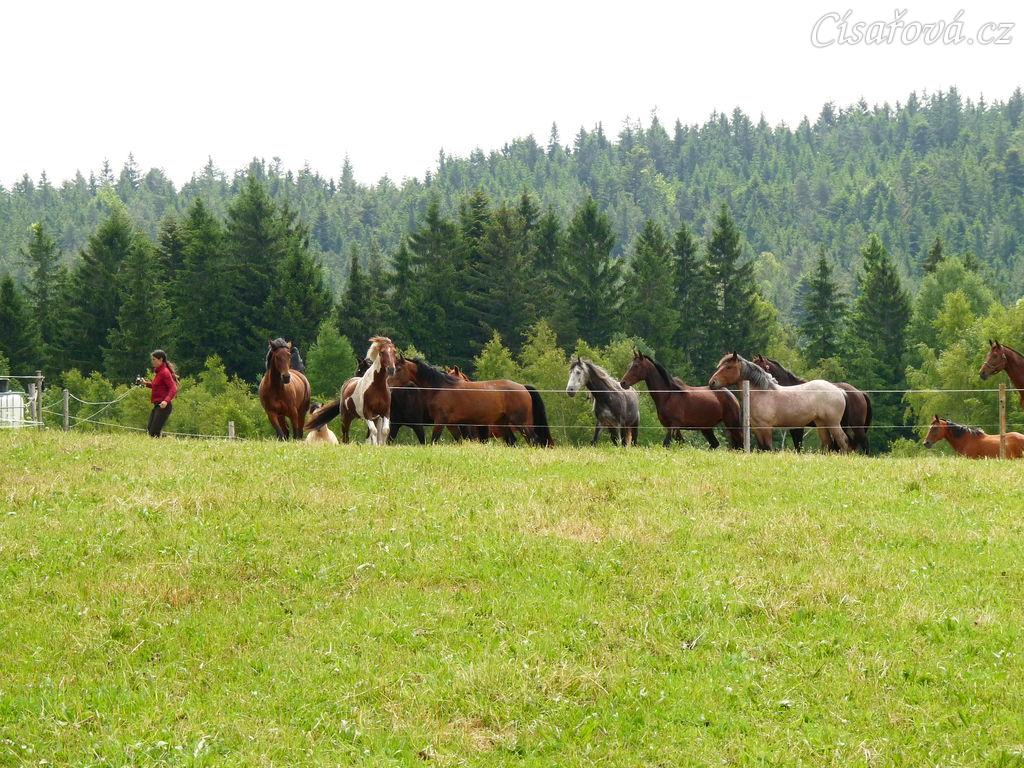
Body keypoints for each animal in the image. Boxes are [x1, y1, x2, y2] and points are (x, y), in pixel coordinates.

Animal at [390, 356, 554, 446]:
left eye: (398, 369)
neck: (440, 387)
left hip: (522, 424)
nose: (388, 383)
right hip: (504, 423)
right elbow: (459, 441)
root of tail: (523, 387)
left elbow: (433, 440)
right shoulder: (451, 425)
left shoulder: (440, 421)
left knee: (534, 440)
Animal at [708, 352, 850, 452]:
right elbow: (762, 449)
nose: (712, 382)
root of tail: (839, 390)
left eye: (728, 367)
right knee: (828, 444)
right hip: (821, 424)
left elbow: (767, 448)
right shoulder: (757, 429)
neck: (762, 393)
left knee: (843, 441)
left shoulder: (766, 428)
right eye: (720, 366)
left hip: (833, 424)